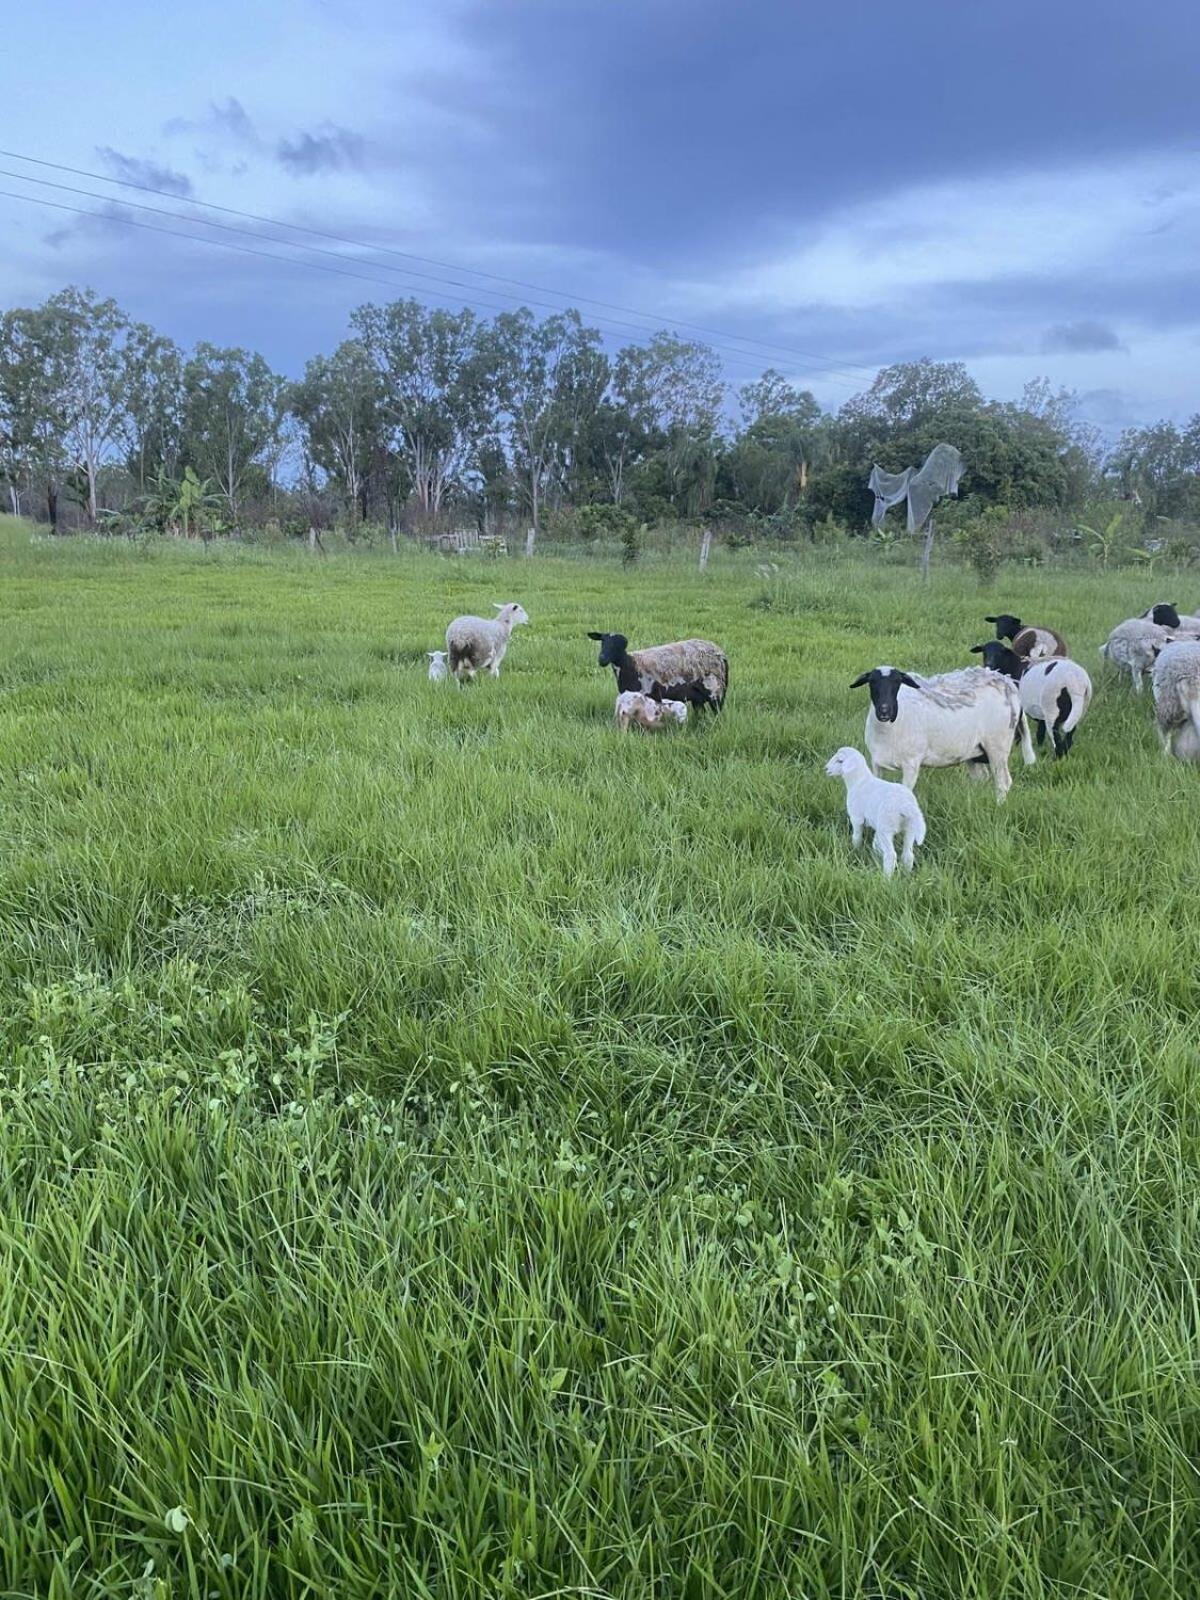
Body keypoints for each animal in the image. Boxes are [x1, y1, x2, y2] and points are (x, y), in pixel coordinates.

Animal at [588, 630, 729, 713]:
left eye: (618, 645)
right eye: (603, 642)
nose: (602, 659)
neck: (630, 665)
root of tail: (721, 654)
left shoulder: (651, 695)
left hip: (715, 689)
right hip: (697, 696)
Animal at [825, 745, 928, 883]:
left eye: (840, 761)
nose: (826, 769)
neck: (859, 781)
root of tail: (905, 805)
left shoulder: (856, 817)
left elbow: (857, 836)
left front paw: (856, 850)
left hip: (887, 827)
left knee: (891, 855)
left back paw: (886, 880)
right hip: (910, 827)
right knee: (908, 855)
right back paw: (906, 875)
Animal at [844, 665, 1036, 806]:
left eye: (898, 682)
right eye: (872, 682)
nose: (884, 710)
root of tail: (1008, 685)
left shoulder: (911, 764)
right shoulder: (876, 763)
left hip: (998, 745)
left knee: (1003, 782)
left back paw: (999, 806)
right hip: (974, 751)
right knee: (981, 778)